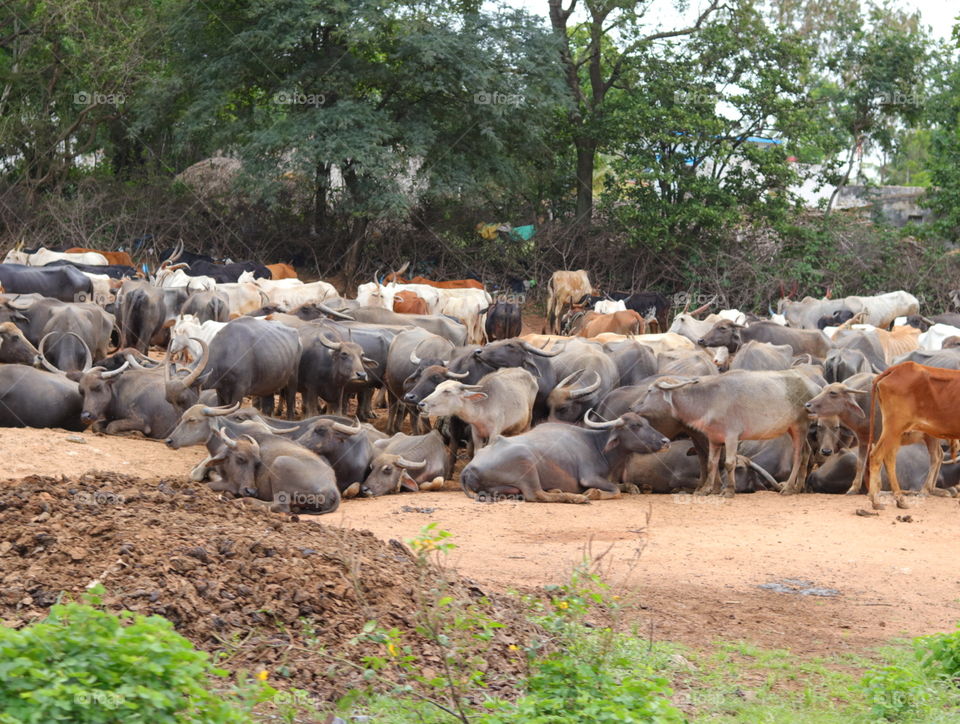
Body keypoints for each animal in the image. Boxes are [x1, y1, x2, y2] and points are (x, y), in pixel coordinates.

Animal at [460, 411, 670, 503]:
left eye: (647, 423)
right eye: (635, 426)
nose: (666, 441)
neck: (596, 444)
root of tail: (468, 468)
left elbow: (621, 485)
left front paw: (633, 487)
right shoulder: (589, 477)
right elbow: (614, 490)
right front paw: (592, 493)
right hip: (526, 461)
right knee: (536, 495)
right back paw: (575, 497)